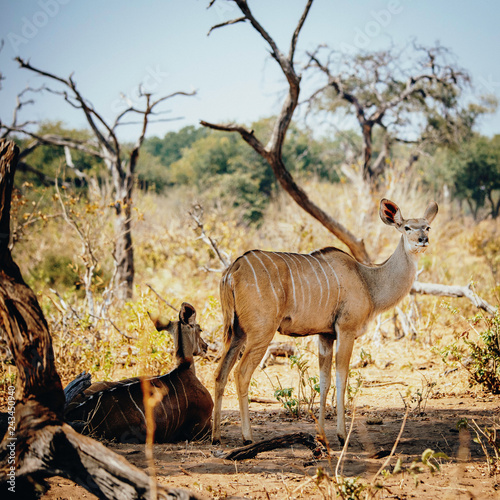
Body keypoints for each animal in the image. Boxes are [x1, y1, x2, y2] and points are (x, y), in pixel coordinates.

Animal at [213, 199, 440, 446]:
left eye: (427, 227)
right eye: (407, 227)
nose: (423, 240)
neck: (368, 281)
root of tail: (232, 270)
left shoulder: (325, 335)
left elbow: (324, 380)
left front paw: (321, 435)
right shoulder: (346, 330)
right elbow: (341, 378)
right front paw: (341, 435)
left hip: (237, 333)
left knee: (220, 373)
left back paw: (215, 436)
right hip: (261, 333)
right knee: (241, 373)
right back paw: (247, 437)